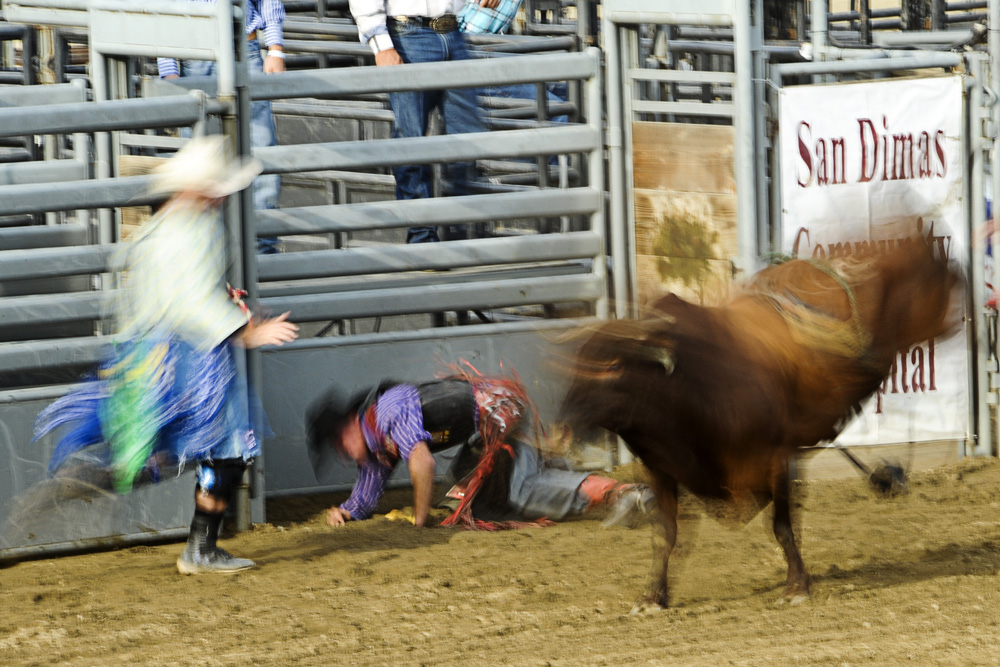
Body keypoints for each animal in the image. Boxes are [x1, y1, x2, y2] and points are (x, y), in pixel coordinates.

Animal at [560, 241, 956, 612]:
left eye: (613, 366)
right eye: (577, 363)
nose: (564, 421)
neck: (692, 385)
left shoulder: (776, 459)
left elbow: (781, 527)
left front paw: (796, 587)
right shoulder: (660, 467)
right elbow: (665, 534)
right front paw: (652, 596)